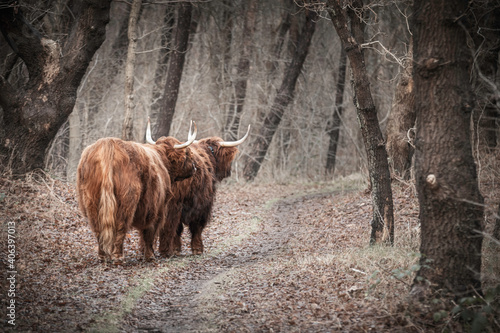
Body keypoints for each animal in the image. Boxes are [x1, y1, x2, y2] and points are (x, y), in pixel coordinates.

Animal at [76, 120, 197, 264]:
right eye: (188, 153)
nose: (195, 167)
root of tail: (108, 144)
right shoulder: (157, 208)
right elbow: (149, 231)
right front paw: (150, 255)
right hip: (127, 200)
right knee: (121, 226)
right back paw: (118, 257)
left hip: (92, 200)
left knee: (97, 228)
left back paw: (102, 256)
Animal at [155, 123, 252, 255]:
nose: (228, 171)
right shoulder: (203, 202)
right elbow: (196, 226)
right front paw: (197, 249)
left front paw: (178, 248)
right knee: (172, 223)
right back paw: (166, 250)